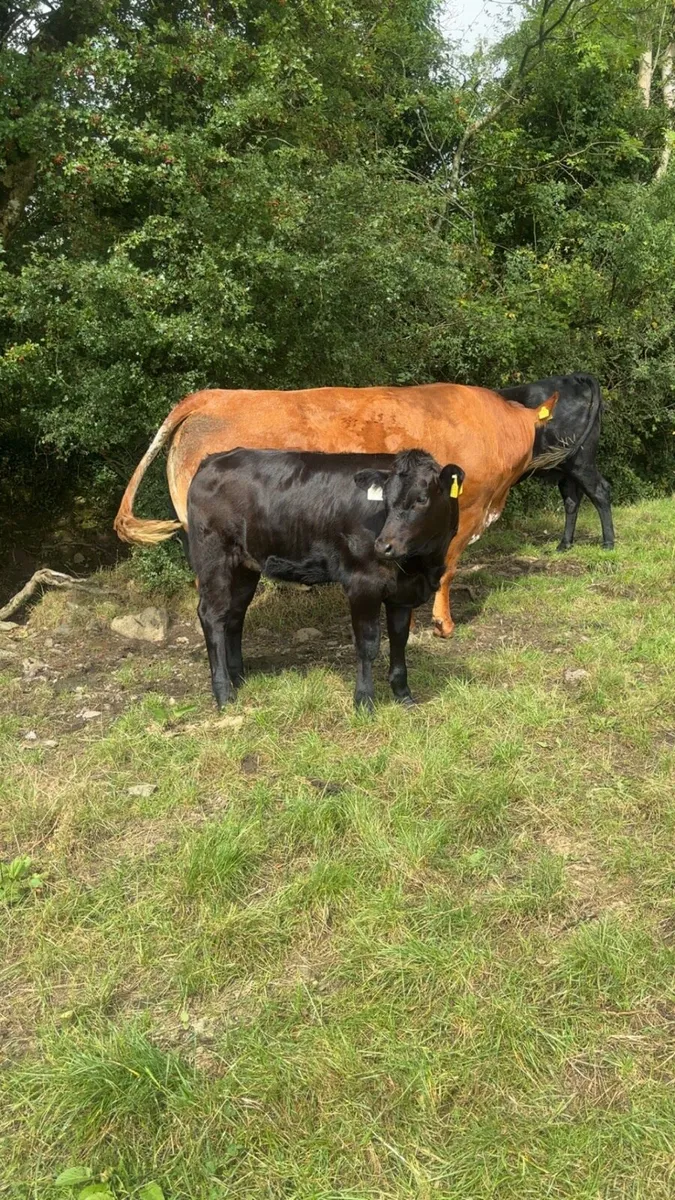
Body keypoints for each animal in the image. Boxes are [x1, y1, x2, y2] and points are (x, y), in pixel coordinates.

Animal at [187, 448, 465, 711]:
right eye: (386, 499)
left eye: (422, 499)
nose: (384, 546)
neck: (421, 565)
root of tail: (213, 460)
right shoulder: (362, 583)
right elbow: (368, 643)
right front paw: (364, 701)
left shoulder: (403, 594)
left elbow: (399, 639)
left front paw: (403, 695)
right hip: (214, 556)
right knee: (213, 615)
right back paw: (224, 694)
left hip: (245, 566)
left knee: (235, 615)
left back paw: (238, 679)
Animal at [497, 373, 614, 551]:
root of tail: (574, 377)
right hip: (567, 470)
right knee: (572, 502)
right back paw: (565, 544)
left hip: (581, 462)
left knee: (600, 491)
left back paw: (608, 543)